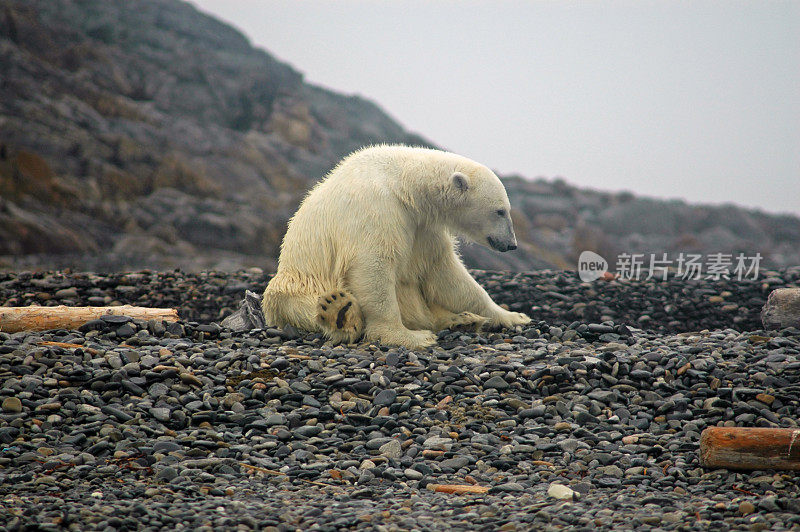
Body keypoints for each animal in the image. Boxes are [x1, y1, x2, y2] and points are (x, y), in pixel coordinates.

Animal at [262, 144, 532, 350]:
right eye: (500, 211)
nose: (512, 244)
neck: (402, 182)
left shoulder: (422, 225)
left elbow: (444, 274)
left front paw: (512, 316)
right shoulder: (377, 208)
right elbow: (373, 266)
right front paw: (407, 336)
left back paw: (462, 320)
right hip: (294, 286)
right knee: (299, 305)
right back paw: (340, 312)